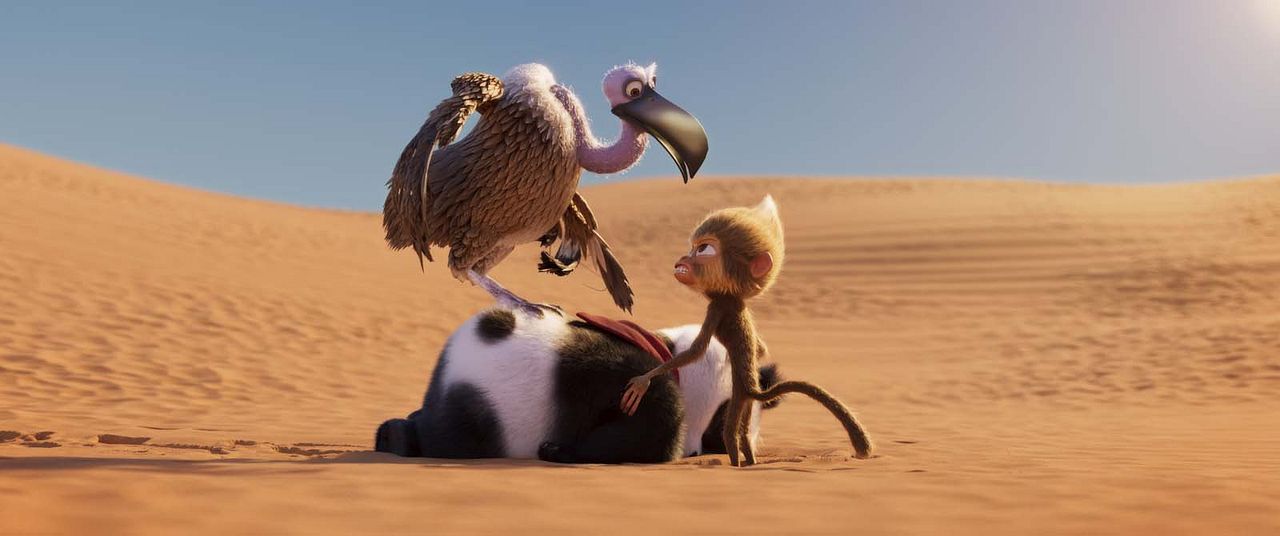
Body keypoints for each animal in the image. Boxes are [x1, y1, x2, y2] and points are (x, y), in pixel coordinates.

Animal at [375, 307, 782, 463]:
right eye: (726, 422)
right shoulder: (622, 370)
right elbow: (657, 417)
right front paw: (558, 450)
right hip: (477, 419)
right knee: (451, 437)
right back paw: (399, 437)